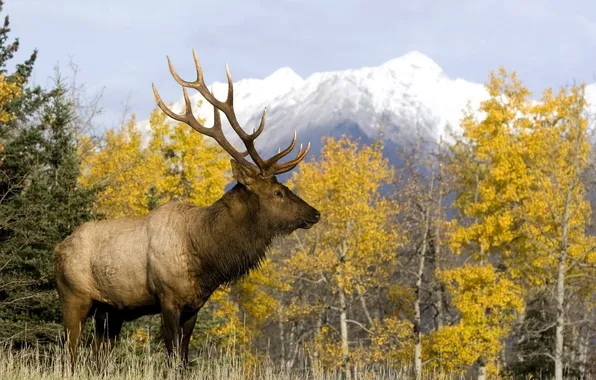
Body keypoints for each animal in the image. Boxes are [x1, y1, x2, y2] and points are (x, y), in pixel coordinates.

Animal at [53, 49, 318, 370]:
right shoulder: (167, 297)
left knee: (98, 356)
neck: (206, 255)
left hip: (110, 311)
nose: (314, 213)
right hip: (73, 296)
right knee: (69, 351)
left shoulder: (195, 305)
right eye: (278, 192)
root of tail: (57, 250)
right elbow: (172, 357)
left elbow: (183, 356)